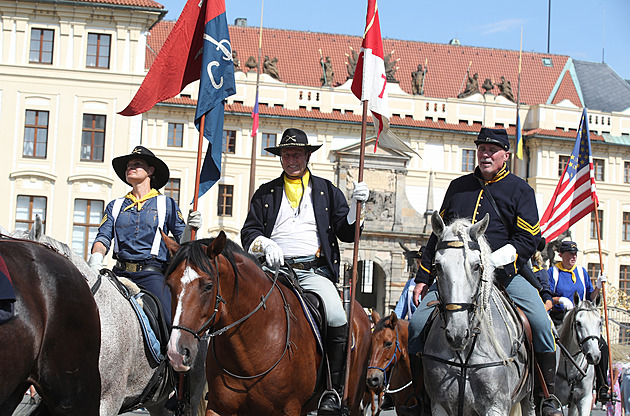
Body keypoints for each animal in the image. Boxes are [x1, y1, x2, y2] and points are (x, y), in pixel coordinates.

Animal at [162, 232, 376, 414]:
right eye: (169, 285)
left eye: (208, 286)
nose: (176, 352)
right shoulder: (219, 407)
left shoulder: (289, 409)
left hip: (352, 402)